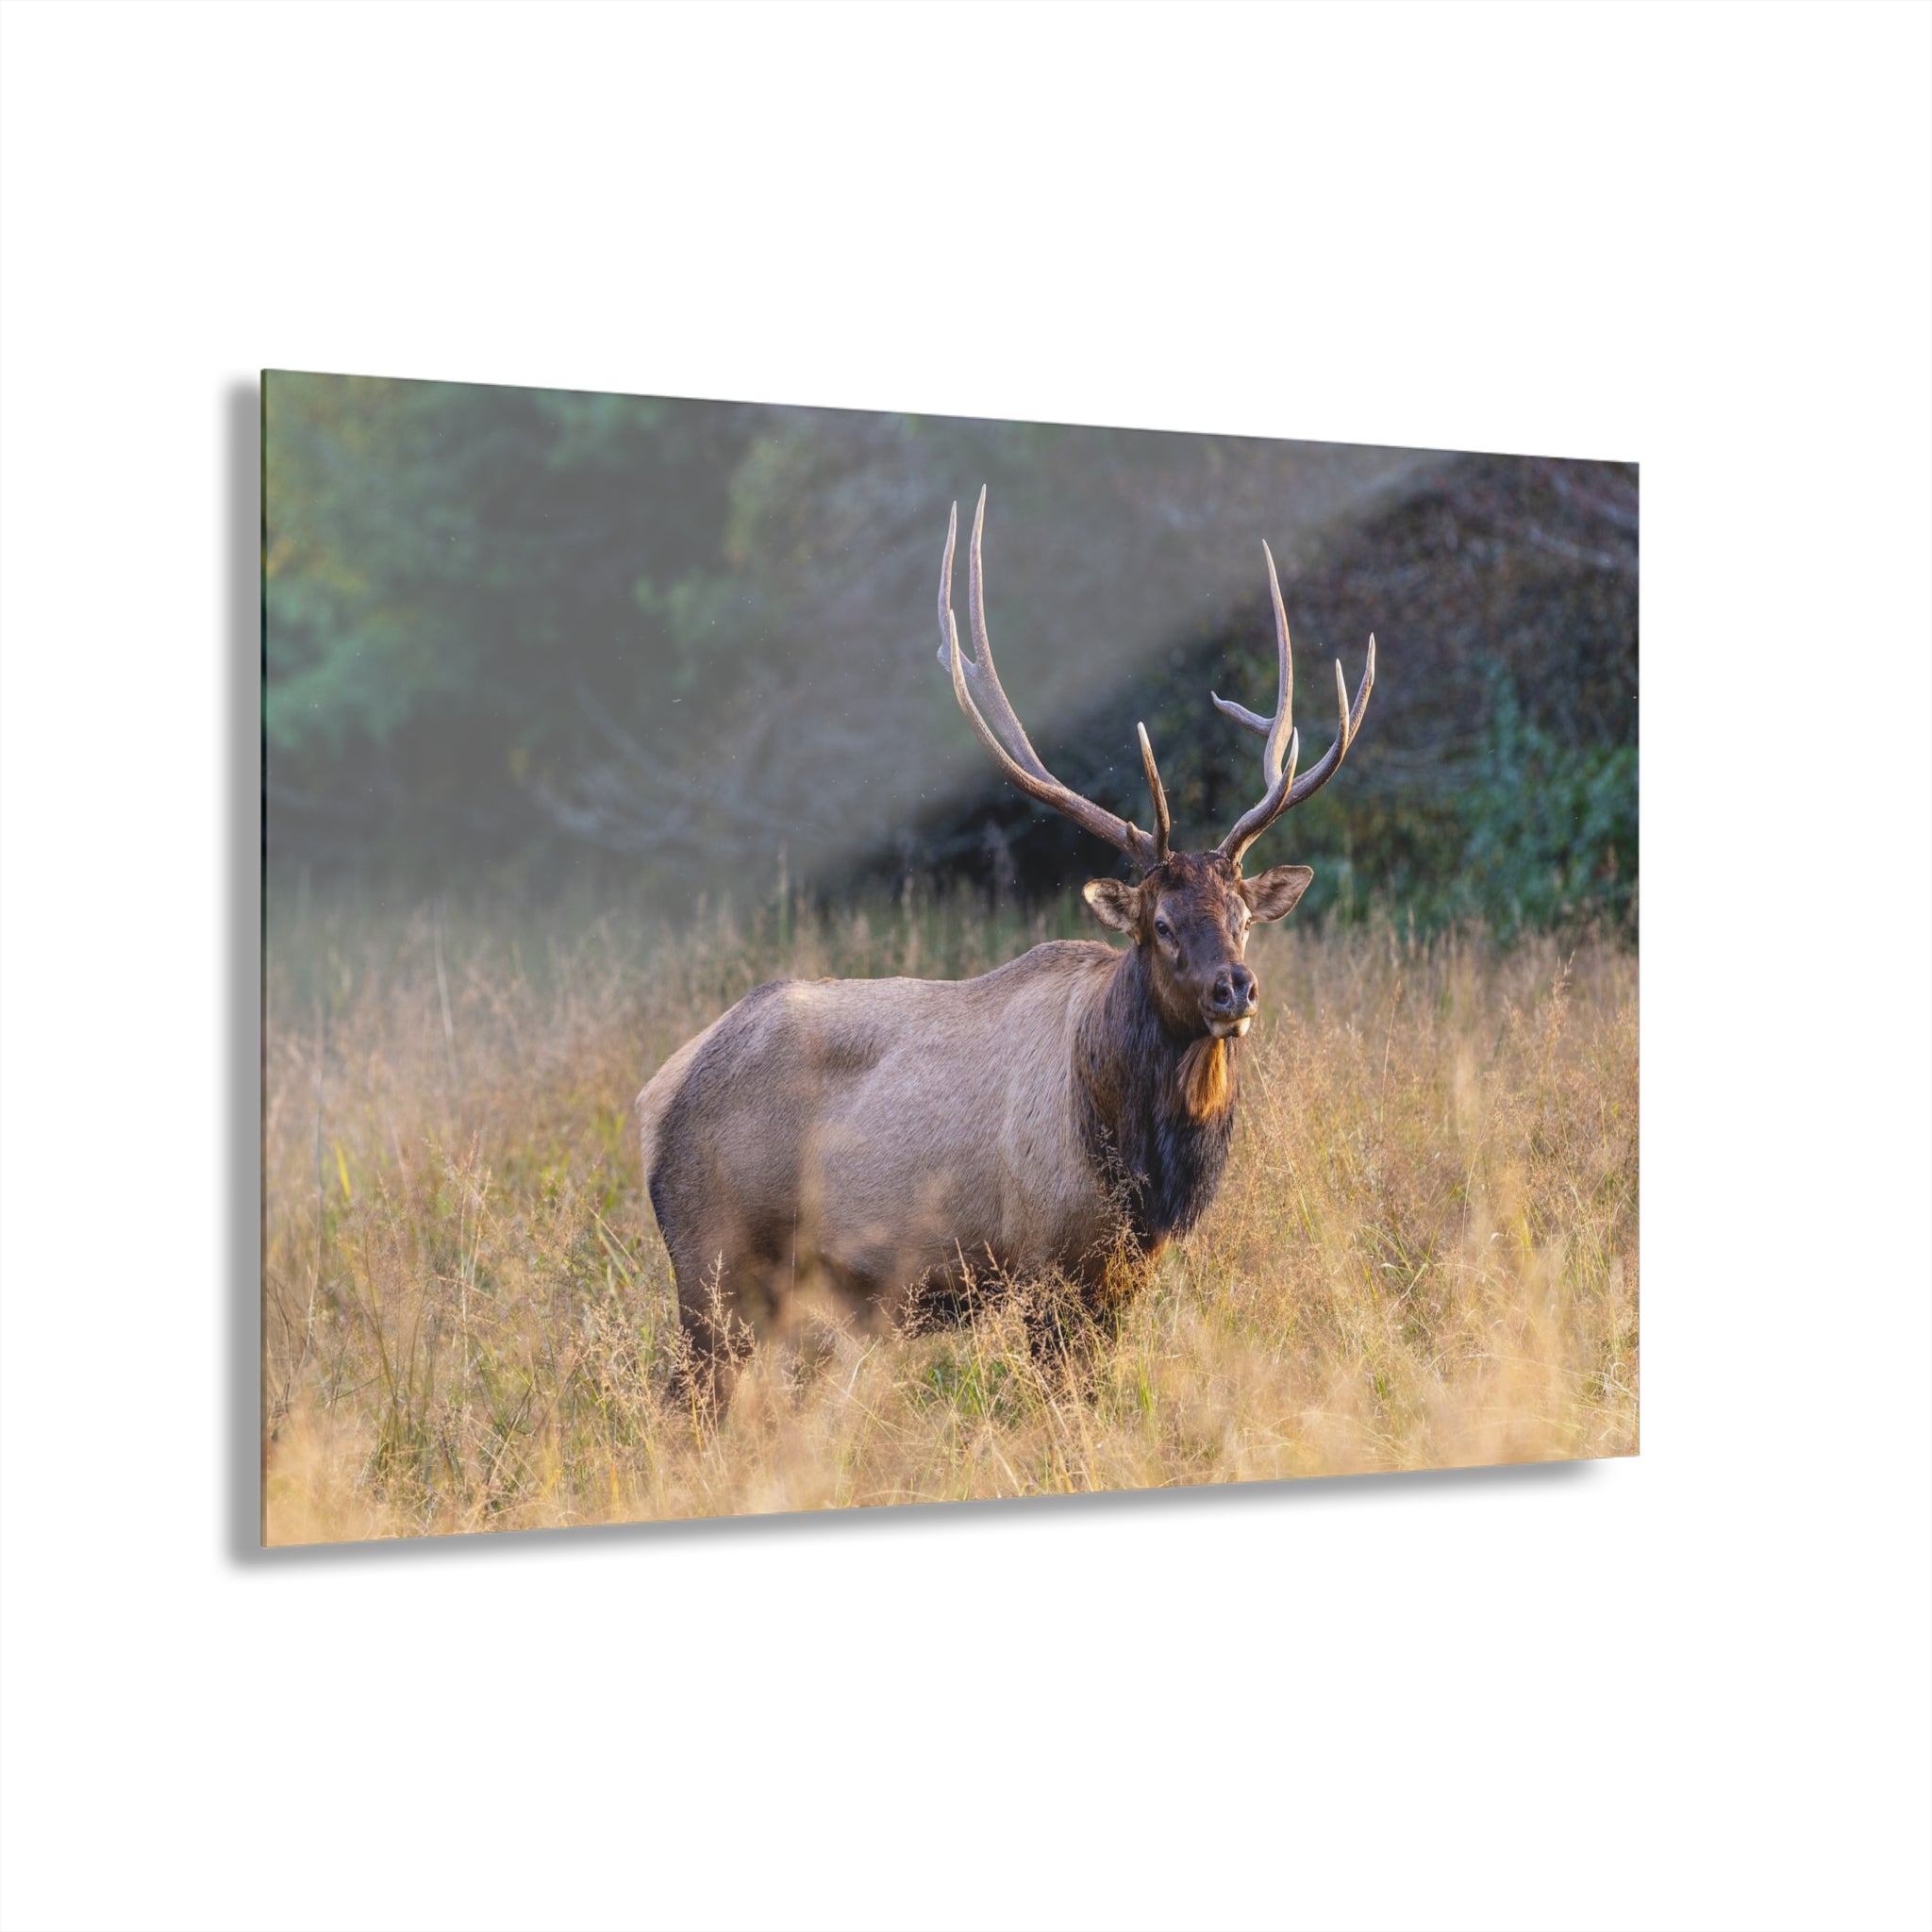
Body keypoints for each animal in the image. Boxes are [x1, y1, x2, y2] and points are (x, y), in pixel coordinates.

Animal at [637, 488, 1375, 1397]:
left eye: (1241, 915)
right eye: (1161, 925)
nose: (1234, 987)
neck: (1139, 1160)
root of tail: (655, 1099)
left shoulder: (1123, 1274)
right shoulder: (1046, 1261)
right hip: (714, 1263)